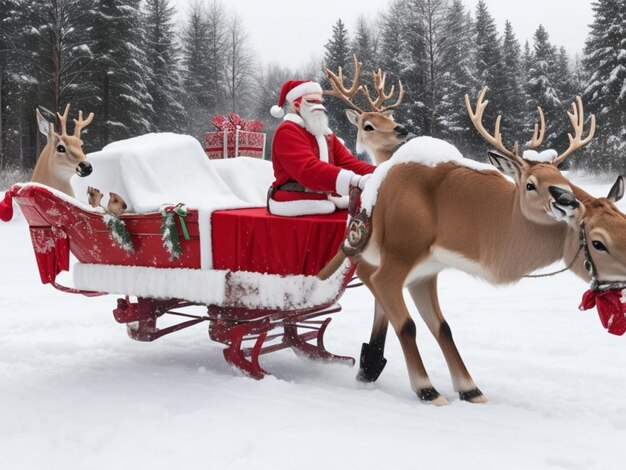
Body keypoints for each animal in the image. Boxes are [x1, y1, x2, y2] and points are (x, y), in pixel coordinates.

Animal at [320, 86, 624, 406]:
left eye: (562, 176)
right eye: (530, 184)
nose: (567, 198)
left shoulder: (425, 272)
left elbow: (442, 327)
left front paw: (469, 388)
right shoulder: (392, 264)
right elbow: (406, 323)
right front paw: (426, 389)